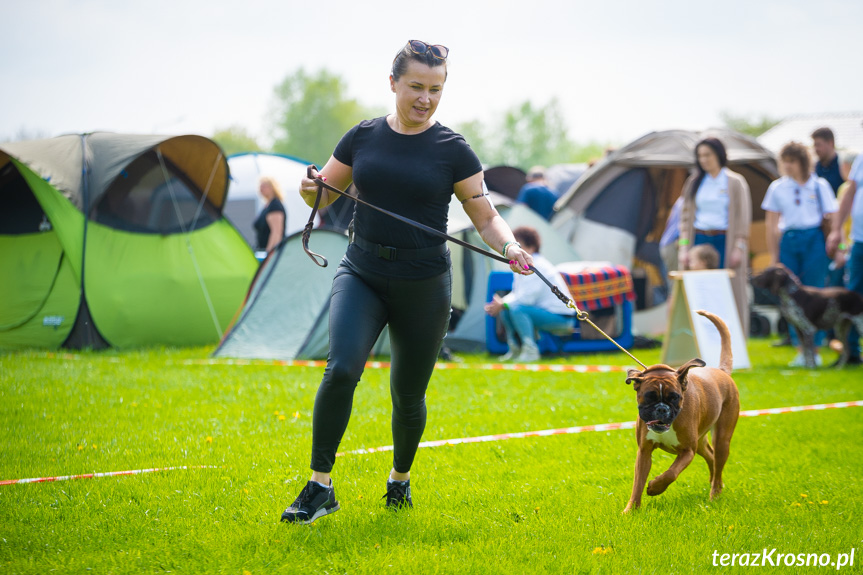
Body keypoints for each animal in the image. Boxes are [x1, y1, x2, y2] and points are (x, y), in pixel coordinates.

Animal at [624, 312, 740, 516]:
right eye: (649, 397)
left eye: (674, 397)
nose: (662, 408)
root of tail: (722, 372)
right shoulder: (644, 452)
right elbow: (637, 483)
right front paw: (631, 510)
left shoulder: (687, 451)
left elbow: (671, 473)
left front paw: (655, 487)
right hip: (701, 442)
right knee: (712, 458)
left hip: (722, 440)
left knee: (718, 463)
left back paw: (714, 495)